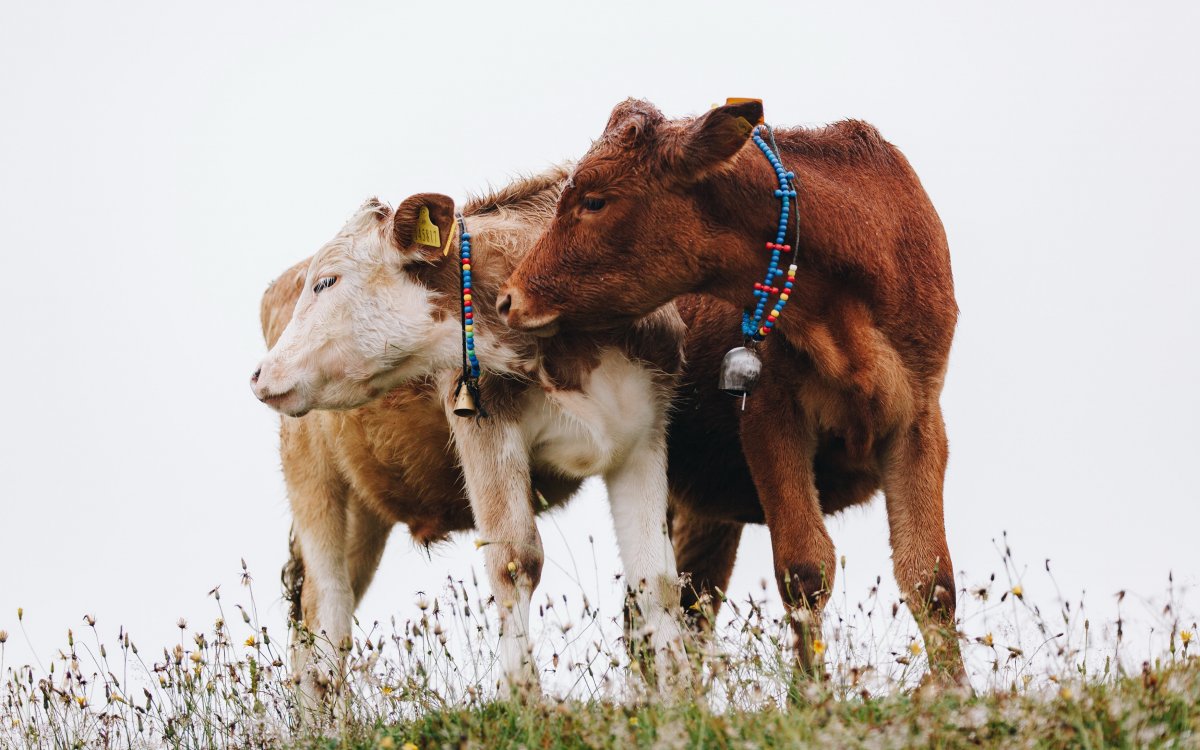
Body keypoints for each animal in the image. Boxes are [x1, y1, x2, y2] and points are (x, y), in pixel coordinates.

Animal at [496, 102, 964, 681]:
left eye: (595, 200)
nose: (509, 298)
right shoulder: (767, 415)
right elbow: (804, 568)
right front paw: (812, 695)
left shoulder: (920, 416)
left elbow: (930, 579)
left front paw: (956, 694)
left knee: (688, 604)